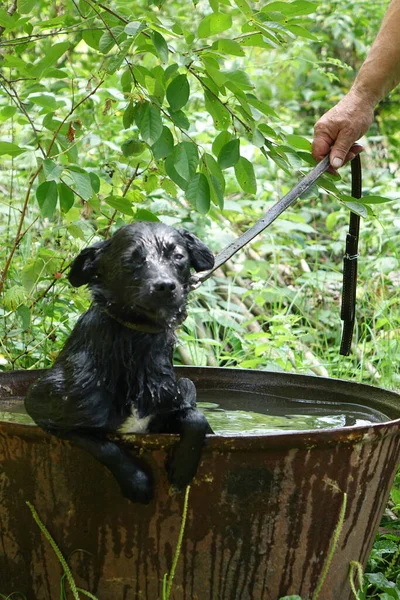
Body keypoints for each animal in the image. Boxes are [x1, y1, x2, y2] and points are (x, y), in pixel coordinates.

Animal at [25, 223, 216, 504]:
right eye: (131, 260)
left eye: (178, 256)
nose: (165, 286)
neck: (136, 347)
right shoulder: (48, 413)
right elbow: (103, 445)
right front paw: (137, 482)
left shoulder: (168, 407)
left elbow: (195, 417)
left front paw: (182, 468)